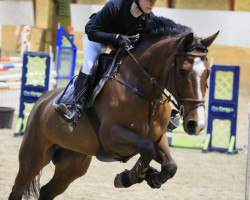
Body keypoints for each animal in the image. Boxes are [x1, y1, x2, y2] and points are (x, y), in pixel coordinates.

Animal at [8, 17, 218, 200]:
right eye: (182, 71)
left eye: (208, 72)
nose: (197, 124)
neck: (144, 90)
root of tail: (42, 102)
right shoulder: (111, 136)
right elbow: (146, 149)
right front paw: (127, 177)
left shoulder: (158, 137)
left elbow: (169, 165)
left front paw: (152, 177)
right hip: (33, 158)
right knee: (17, 189)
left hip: (72, 164)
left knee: (46, 192)